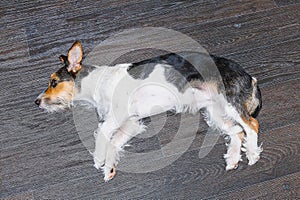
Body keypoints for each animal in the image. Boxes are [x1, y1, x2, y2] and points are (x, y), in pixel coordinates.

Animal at [35, 40, 262, 181]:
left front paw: (99, 158)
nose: (36, 102)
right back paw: (233, 159)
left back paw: (252, 154)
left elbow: (102, 134)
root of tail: (249, 77)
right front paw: (109, 167)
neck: (98, 82)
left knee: (251, 125)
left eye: (53, 82)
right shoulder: (131, 123)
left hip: (230, 104)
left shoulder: (116, 117)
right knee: (237, 131)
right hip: (215, 113)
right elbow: (114, 143)